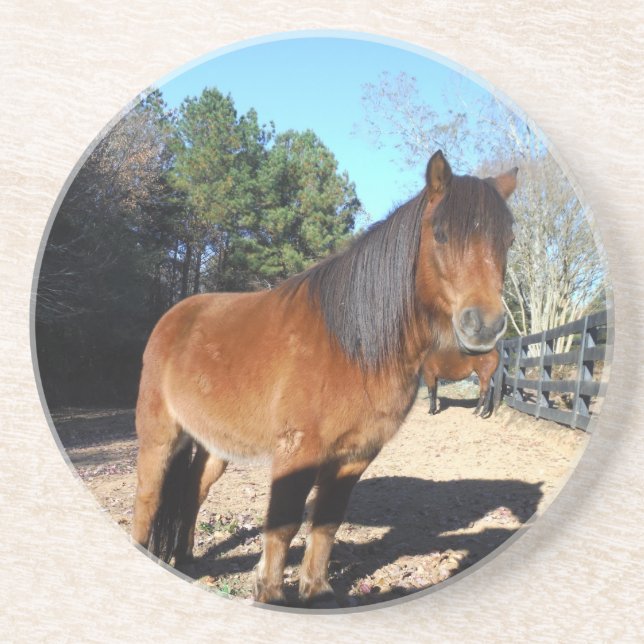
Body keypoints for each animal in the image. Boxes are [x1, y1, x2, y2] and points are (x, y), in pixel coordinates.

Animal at [131, 151, 517, 607]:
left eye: (508, 240)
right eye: (440, 234)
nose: (485, 326)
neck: (354, 345)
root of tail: (174, 317)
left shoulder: (354, 456)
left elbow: (327, 523)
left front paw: (316, 593)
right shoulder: (298, 453)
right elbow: (282, 526)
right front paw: (271, 594)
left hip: (215, 446)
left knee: (194, 492)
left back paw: (185, 558)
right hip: (160, 437)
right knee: (148, 498)